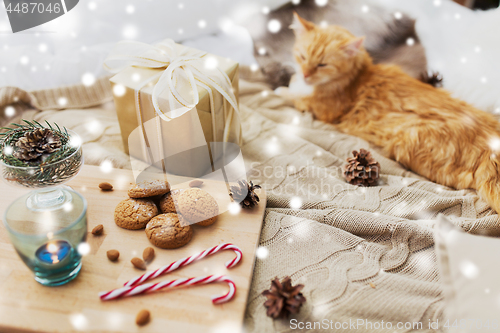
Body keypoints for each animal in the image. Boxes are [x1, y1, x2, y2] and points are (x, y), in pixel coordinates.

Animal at [292, 13, 500, 213]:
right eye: (302, 57)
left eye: (322, 65)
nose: (305, 74)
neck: (358, 76)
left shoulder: (324, 108)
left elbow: (291, 96)